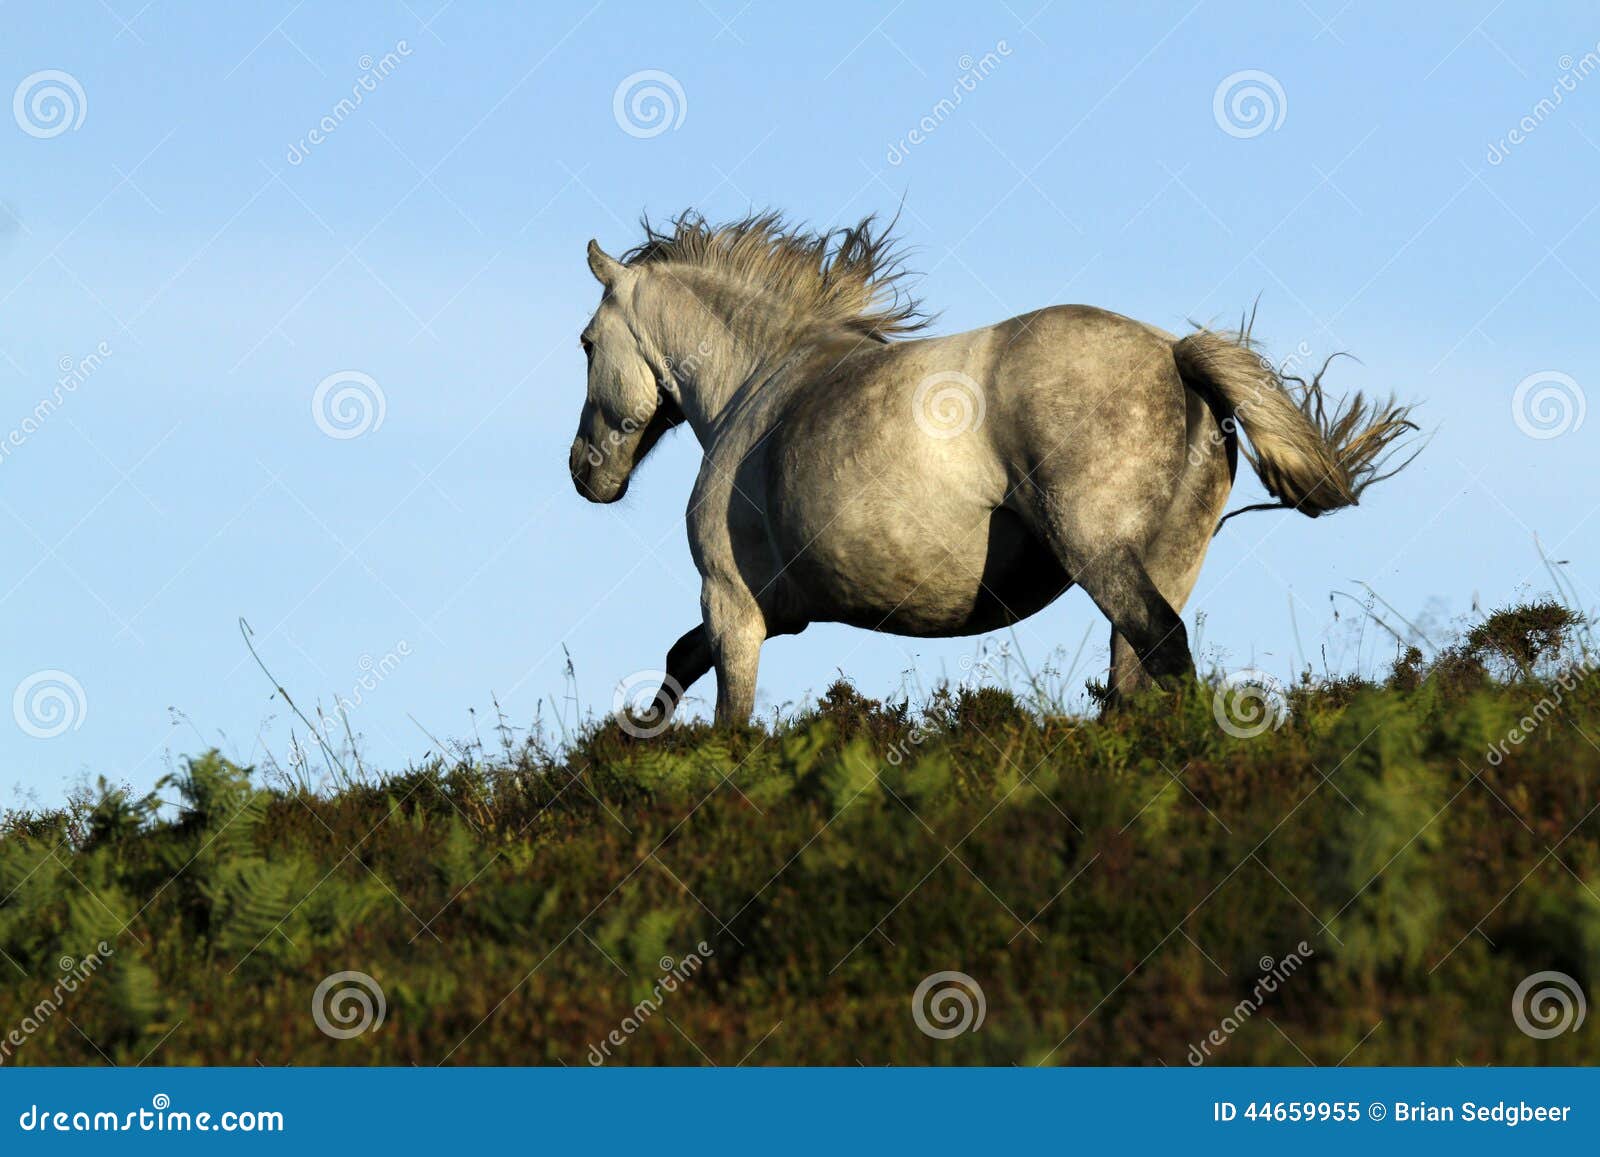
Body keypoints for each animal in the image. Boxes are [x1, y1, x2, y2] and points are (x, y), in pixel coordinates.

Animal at [567, 212, 1417, 726]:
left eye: (585, 343)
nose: (584, 472)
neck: (763, 381)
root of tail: (1175, 355)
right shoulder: (777, 609)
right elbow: (679, 657)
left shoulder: (733, 604)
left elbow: (729, 720)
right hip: (1171, 559)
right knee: (1136, 673)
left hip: (1101, 554)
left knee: (1164, 649)